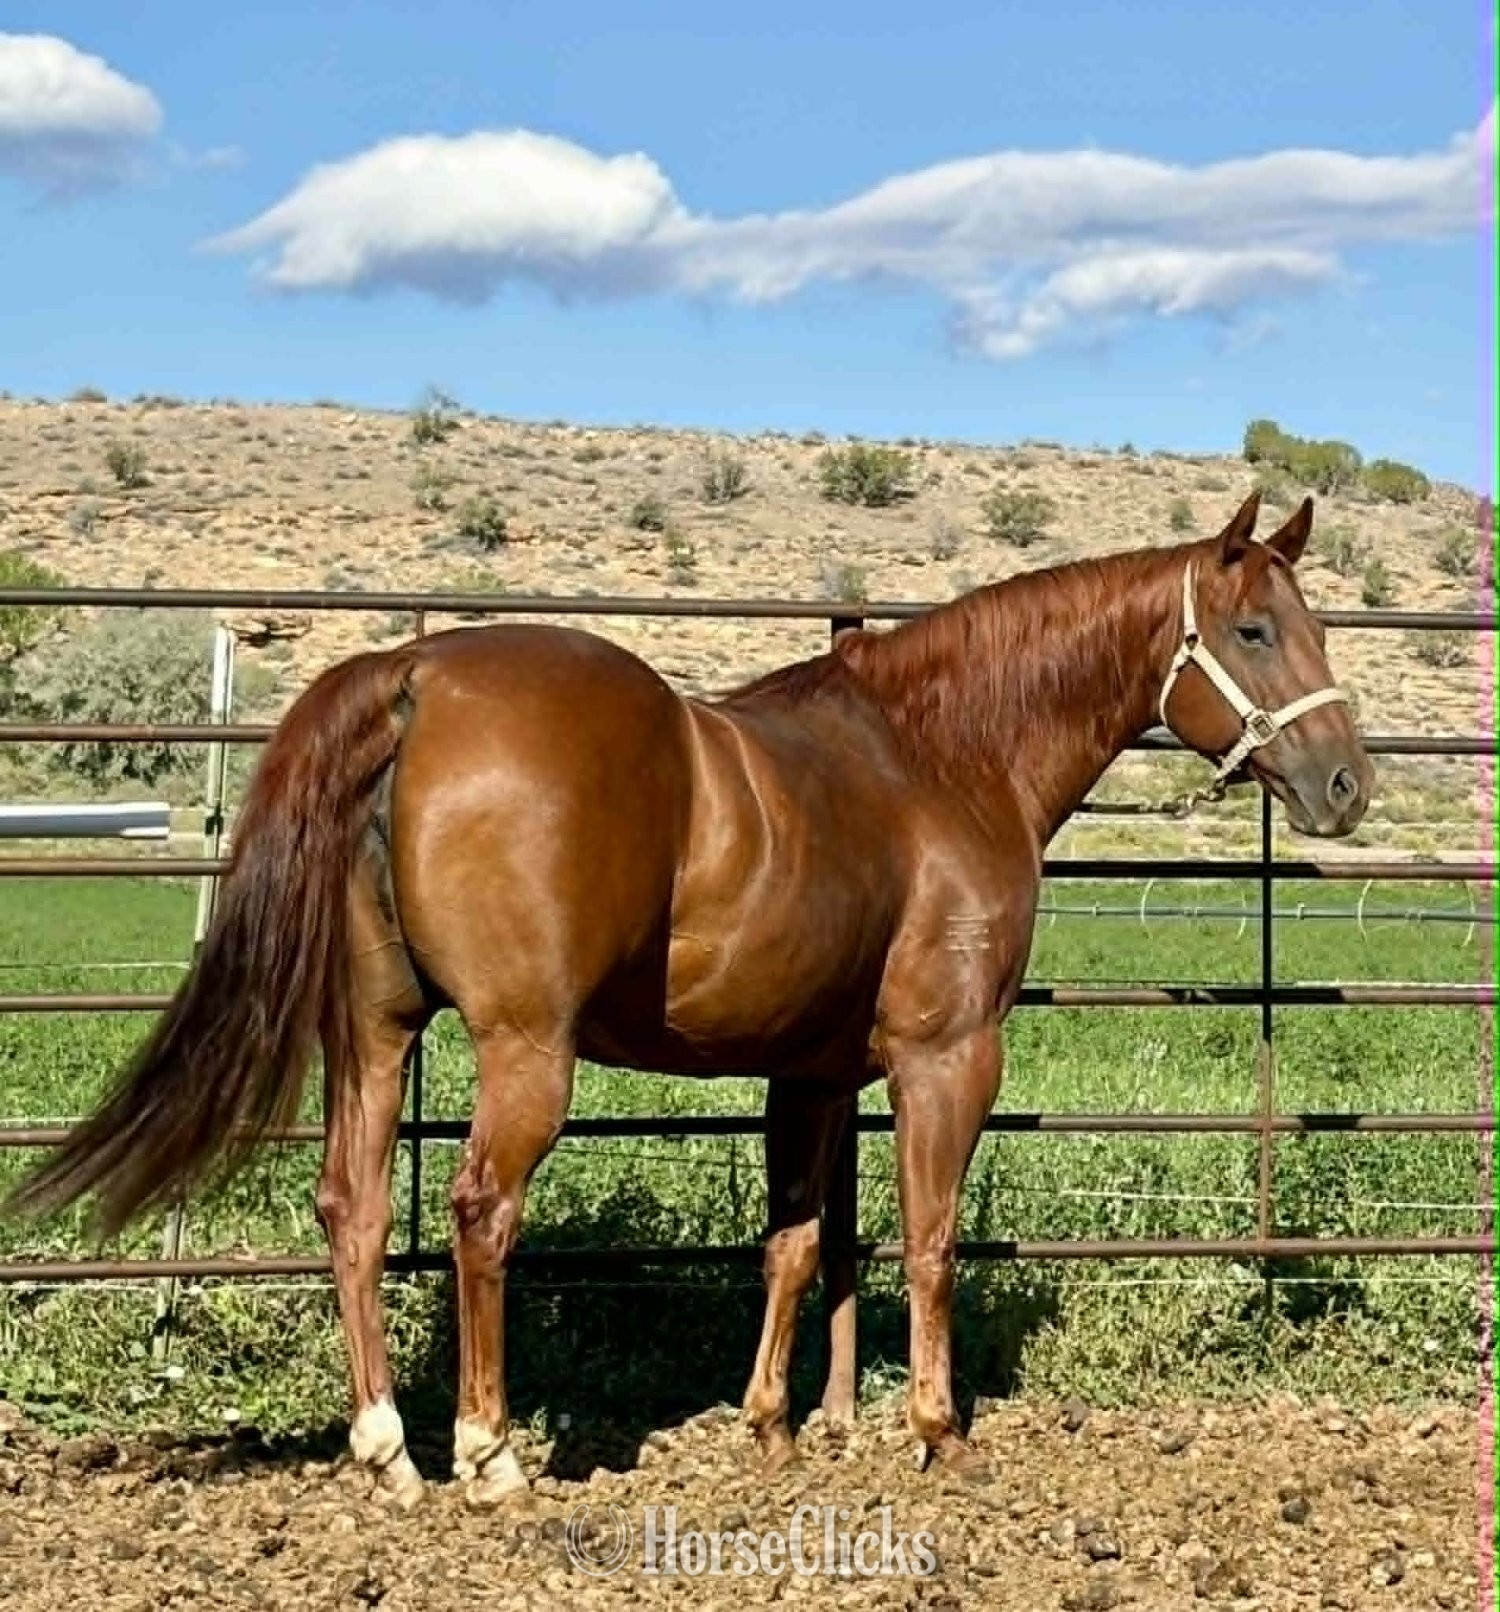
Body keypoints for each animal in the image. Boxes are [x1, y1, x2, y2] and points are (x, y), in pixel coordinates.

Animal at [8, 491, 1372, 1505]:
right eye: (1256, 631)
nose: (1347, 783)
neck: (942, 757)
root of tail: (412, 674)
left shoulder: (808, 1072)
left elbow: (796, 1243)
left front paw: (773, 1423)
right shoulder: (948, 1055)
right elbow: (928, 1238)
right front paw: (938, 1429)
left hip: (378, 1033)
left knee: (352, 1207)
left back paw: (390, 1450)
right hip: (524, 1048)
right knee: (479, 1210)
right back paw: (491, 1458)